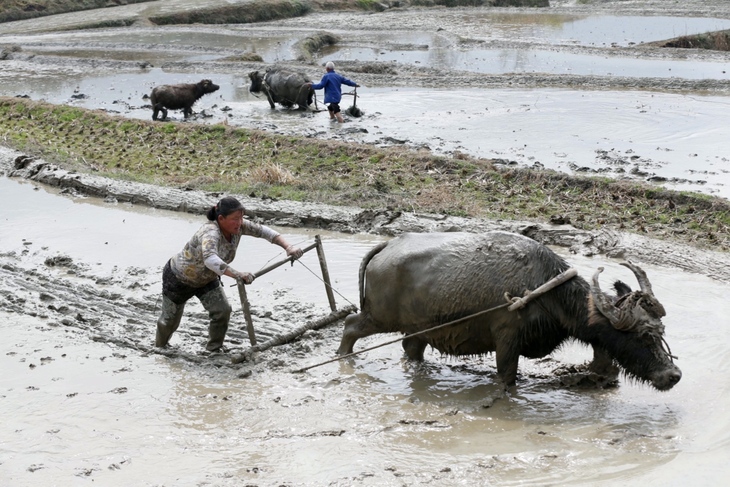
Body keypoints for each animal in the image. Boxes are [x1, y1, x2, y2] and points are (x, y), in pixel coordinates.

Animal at [338, 231, 680, 390]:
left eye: (661, 333)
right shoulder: (507, 340)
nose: (673, 375)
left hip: (418, 329)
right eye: (643, 336)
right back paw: (343, 357)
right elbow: (506, 377)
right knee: (351, 324)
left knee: (411, 348)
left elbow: (603, 361)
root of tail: (386, 246)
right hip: (379, 317)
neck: (543, 289)